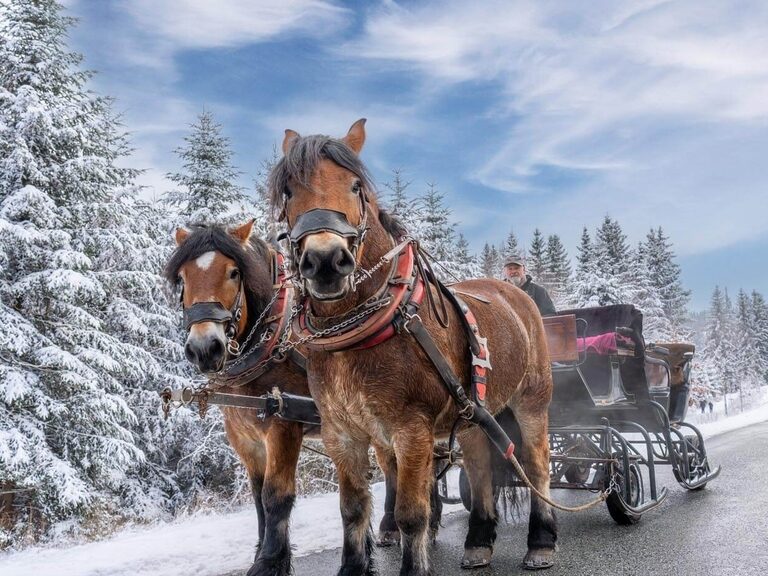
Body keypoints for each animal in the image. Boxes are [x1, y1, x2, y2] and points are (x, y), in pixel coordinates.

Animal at [165, 221, 310, 576]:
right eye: (183, 278)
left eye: (233, 273)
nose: (205, 348)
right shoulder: (242, 434)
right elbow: (258, 496)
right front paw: (264, 552)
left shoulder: (285, 425)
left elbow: (276, 494)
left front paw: (270, 562)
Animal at [268, 119, 557, 575]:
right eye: (289, 191)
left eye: (356, 186)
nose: (327, 261)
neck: (362, 330)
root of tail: (514, 290)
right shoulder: (341, 432)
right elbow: (353, 510)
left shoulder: (412, 430)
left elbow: (411, 514)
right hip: (474, 414)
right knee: (480, 467)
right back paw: (479, 540)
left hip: (532, 399)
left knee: (536, 463)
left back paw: (541, 541)